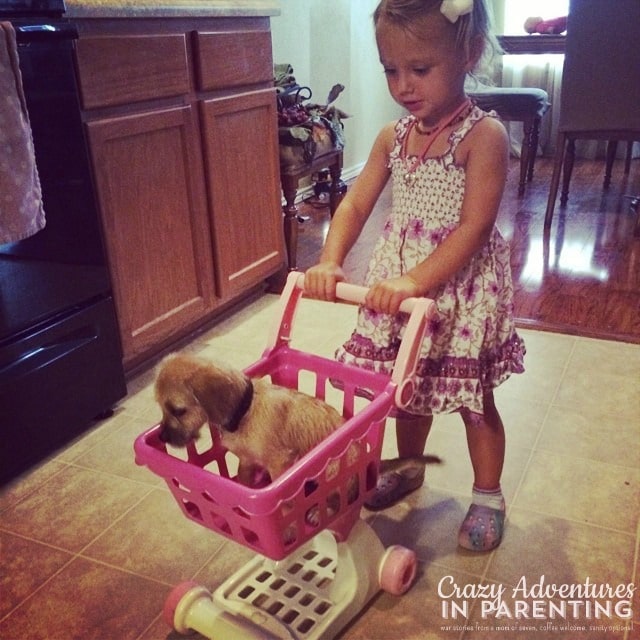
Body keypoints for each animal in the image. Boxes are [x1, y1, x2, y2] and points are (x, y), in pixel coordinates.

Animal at [154, 350, 344, 484]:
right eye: (161, 407)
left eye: (178, 410)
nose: (161, 437)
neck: (245, 412)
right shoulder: (246, 461)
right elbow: (243, 479)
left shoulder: (280, 463)